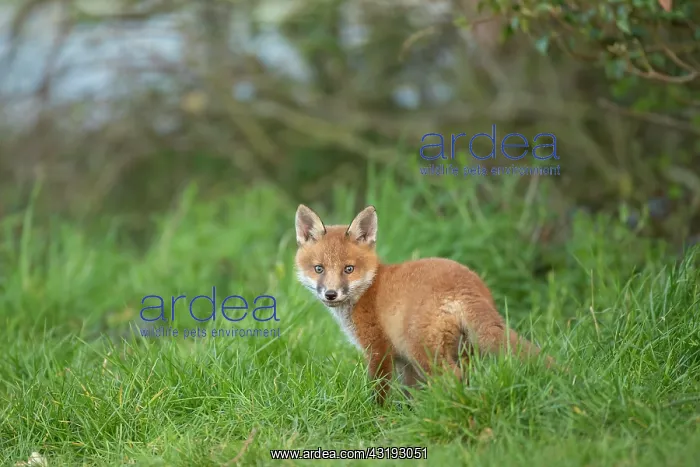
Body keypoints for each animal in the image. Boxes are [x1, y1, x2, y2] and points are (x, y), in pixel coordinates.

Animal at [294, 204, 556, 405]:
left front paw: (376, 416)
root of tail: (465, 286)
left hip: (423, 350)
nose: (331, 294)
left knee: (453, 377)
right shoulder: (404, 362)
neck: (368, 288)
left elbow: (380, 391)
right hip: (461, 350)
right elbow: (411, 393)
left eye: (348, 269)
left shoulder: (379, 349)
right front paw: (409, 416)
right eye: (319, 269)